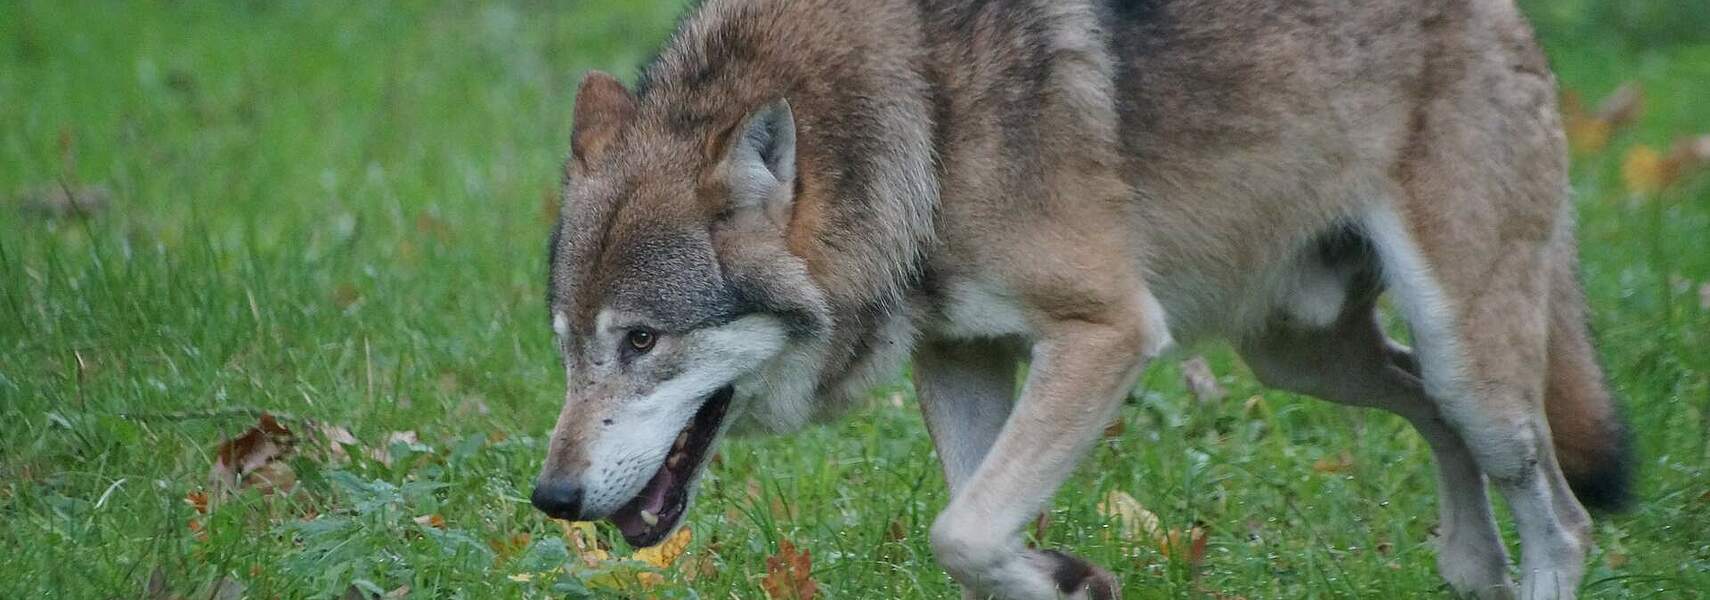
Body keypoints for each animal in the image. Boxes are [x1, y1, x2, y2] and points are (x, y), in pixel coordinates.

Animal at [530, 0, 1627, 598]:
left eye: (642, 340)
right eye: (567, 345)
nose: (551, 499)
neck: (924, 130)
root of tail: (1510, 21)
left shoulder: (1109, 331)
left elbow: (962, 529)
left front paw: (1067, 575)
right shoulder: (961, 357)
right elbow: (971, 534)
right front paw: (1061, 576)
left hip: (1464, 358)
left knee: (1563, 516)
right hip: (1303, 357)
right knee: (1429, 412)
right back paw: (1473, 563)